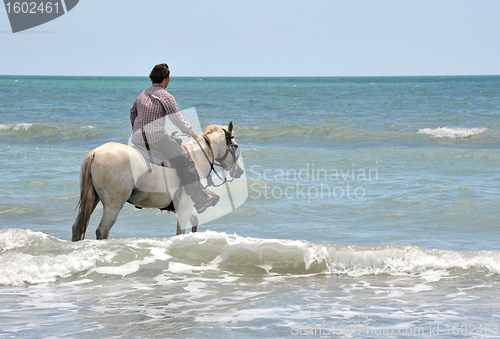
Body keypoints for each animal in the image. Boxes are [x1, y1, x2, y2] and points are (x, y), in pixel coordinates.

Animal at [71, 122, 243, 242]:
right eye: (235, 145)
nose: (240, 171)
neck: (197, 158)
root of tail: (94, 153)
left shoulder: (180, 206)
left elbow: (194, 221)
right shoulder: (186, 205)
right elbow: (180, 231)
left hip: (93, 198)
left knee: (77, 228)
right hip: (113, 205)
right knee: (102, 231)